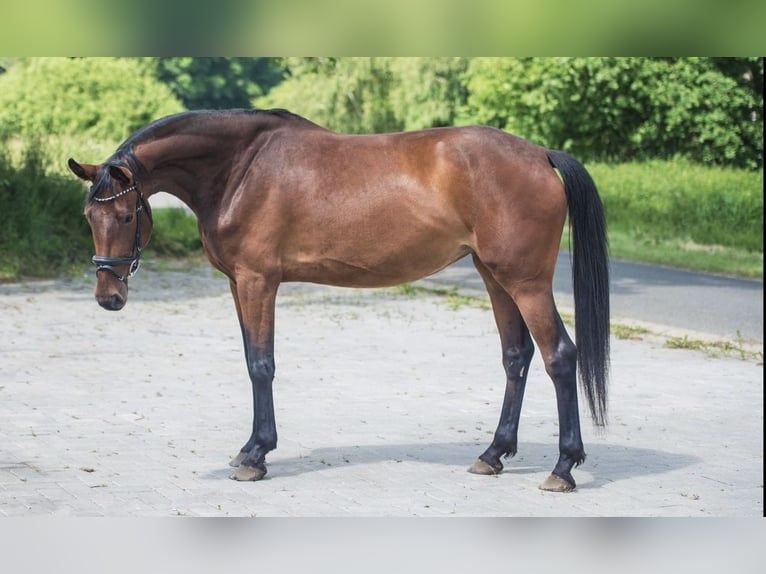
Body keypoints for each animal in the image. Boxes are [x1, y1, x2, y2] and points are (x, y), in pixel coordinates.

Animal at [67, 109, 612, 496]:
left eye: (125, 215)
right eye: (89, 217)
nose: (108, 297)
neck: (241, 168)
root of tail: (540, 155)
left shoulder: (258, 281)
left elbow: (261, 365)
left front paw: (257, 457)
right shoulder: (237, 284)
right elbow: (249, 359)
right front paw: (249, 448)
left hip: (526, 282)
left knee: (560, 356)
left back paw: (563, 467)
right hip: (495, 277)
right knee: (516, 358)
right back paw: (493, 454)